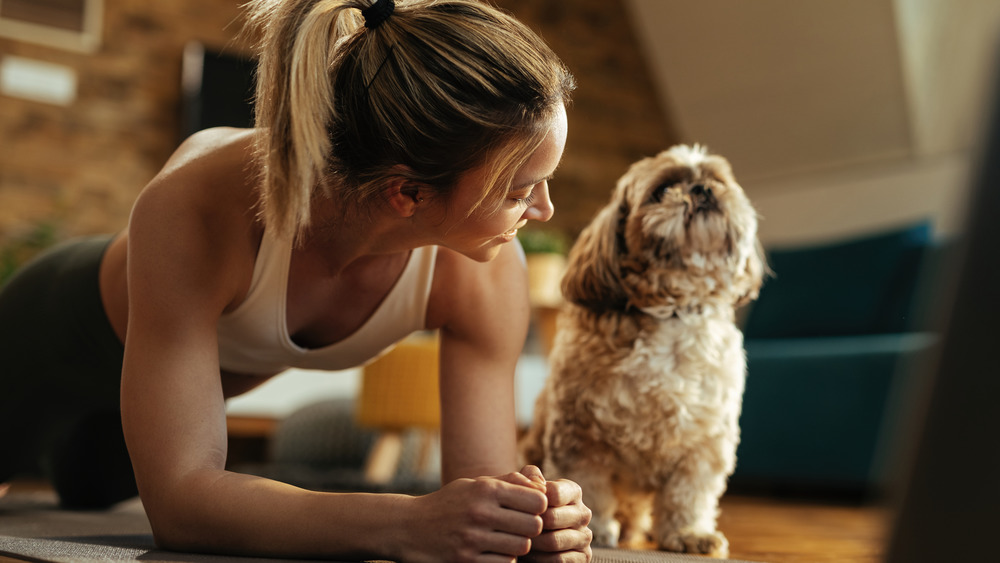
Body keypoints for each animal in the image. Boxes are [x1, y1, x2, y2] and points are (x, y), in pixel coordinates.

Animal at [524, 144, 764, 556]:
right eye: (662, 189)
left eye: (717, 180)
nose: (702, 189)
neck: (674, 311)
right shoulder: (580, 437)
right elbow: (589, 486)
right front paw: (594, 529)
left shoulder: (703, 444)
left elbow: (688, 495)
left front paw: (688, 533)